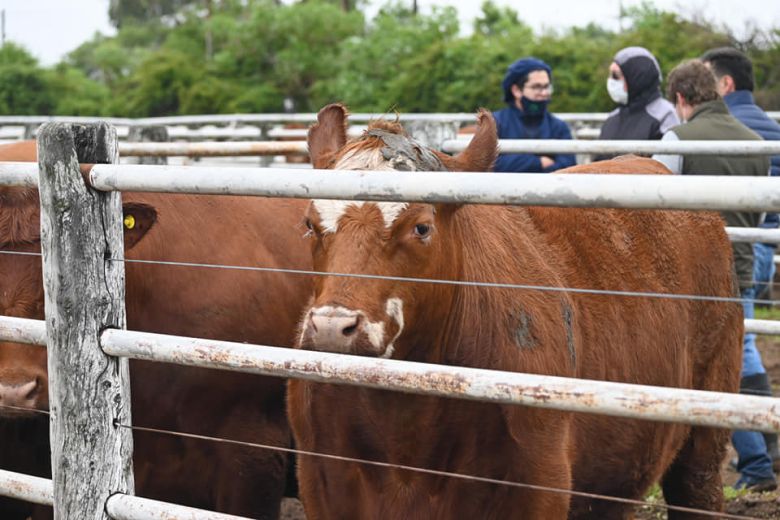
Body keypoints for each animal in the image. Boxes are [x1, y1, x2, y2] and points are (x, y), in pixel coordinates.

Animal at [288, 103, 744, 516]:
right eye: (310, 224)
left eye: (421, 227)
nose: (332, 327)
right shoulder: (323, 479)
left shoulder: (537, 481)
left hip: (704, 441)